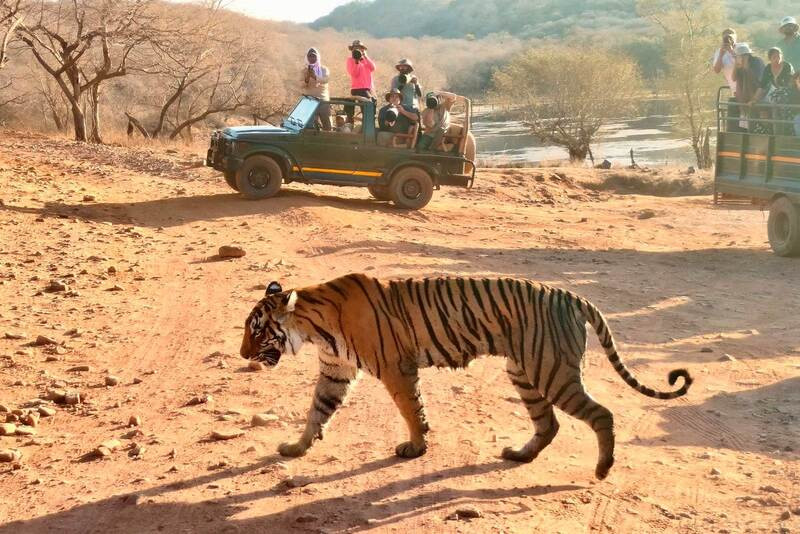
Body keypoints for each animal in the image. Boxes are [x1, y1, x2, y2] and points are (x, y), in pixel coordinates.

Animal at [240, 274, 693, 480]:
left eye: (257, 330)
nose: (242, 354)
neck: (314, 327)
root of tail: (573, 295)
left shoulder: (396, 368)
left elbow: (411, 409)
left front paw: (415, 447)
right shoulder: (336, 370)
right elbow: (317, 410)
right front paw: (296, 447)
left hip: (551, 372)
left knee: (601, 414)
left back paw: (602, 469)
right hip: (525, 371)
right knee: (548, 424)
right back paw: (520, 454)